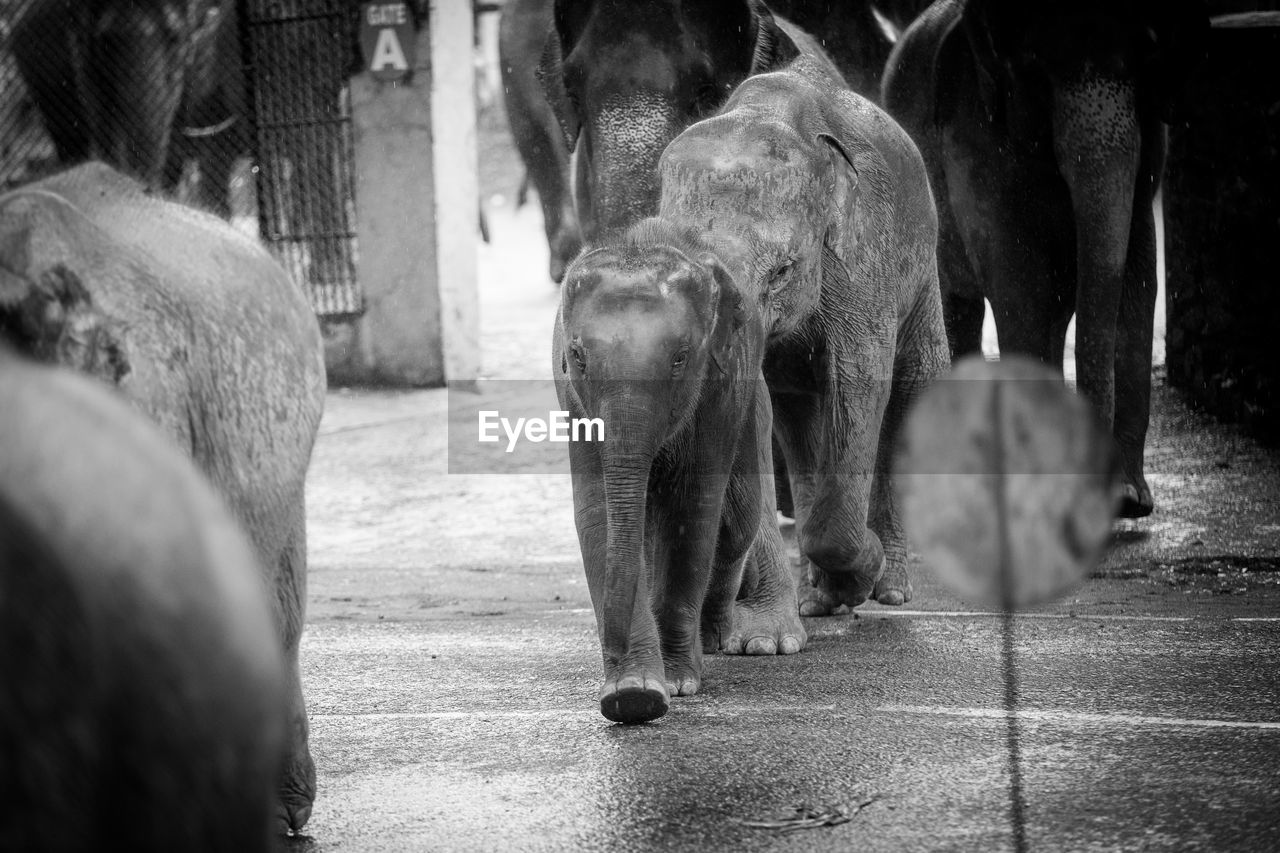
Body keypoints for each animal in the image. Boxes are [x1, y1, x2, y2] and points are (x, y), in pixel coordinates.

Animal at [555, 220, 803, 722]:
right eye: (579, 358)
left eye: (680, 358)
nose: (612, 653)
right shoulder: (572, 398)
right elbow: (601, 516)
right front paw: (634, 694)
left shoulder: (720, 389)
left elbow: (693, 508)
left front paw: (675, 683)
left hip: (750, 407)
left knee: (737, 520)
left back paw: (716, 636)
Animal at [880, 0, 1208, 514]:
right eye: (1035, 69)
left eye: (1144, 61)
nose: (1106, 494)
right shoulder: (974, 137)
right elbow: (1019, 285)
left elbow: (1136, 278)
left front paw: (1130, 500)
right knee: (960, 306)